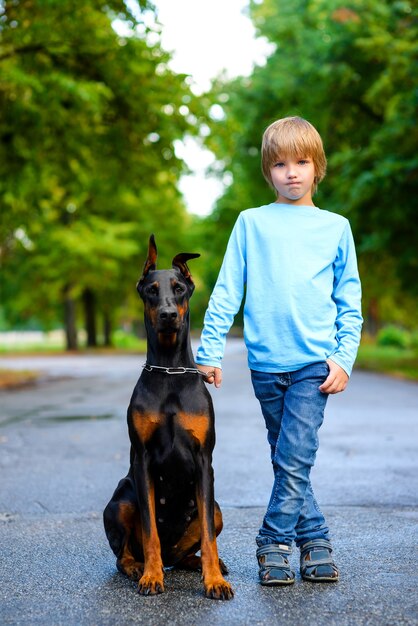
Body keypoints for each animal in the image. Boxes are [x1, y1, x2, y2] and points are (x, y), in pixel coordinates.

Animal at [101, 235, 232, 600]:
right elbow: (150, 531)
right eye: (151, 290)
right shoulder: (142, 459)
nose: (169, 315)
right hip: (119, 500)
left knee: (195, 544)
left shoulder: (203, 459)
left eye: (179, 289)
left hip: (218, 509)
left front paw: (214, 580)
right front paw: (151, 576)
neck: (169, 371)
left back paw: (202, 564)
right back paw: (138, 567)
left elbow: (207, 533)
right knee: (126, 553)